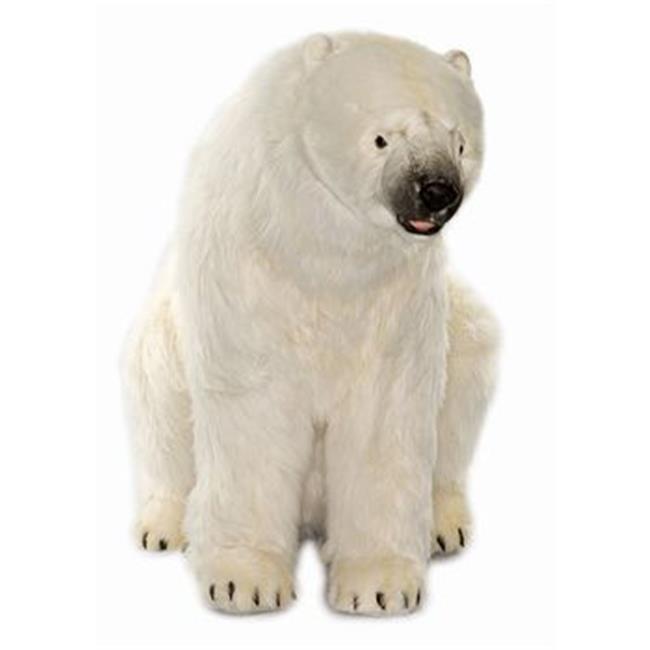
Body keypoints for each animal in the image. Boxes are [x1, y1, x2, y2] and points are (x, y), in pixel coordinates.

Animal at [122, 32, 500, 616]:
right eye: (382, 139)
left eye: (460, 142)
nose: (438, 191)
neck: (318, 247)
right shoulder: (247, 271)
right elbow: (253, 409)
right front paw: (244, 582)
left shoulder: (397, 297)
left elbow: (385, 419)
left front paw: (380, 585)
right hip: (164, 332)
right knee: (159, 399)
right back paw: (165, 524)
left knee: (466, 368)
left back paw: (442, 523)